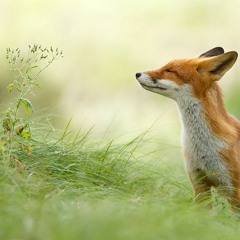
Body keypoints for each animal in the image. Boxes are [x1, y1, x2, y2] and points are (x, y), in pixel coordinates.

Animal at [136, 47, 240, 207]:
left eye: (169, 70)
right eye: (166, 67)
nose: (137, 74)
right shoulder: (199, 183)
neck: (203, 147)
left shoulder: (234, 189)